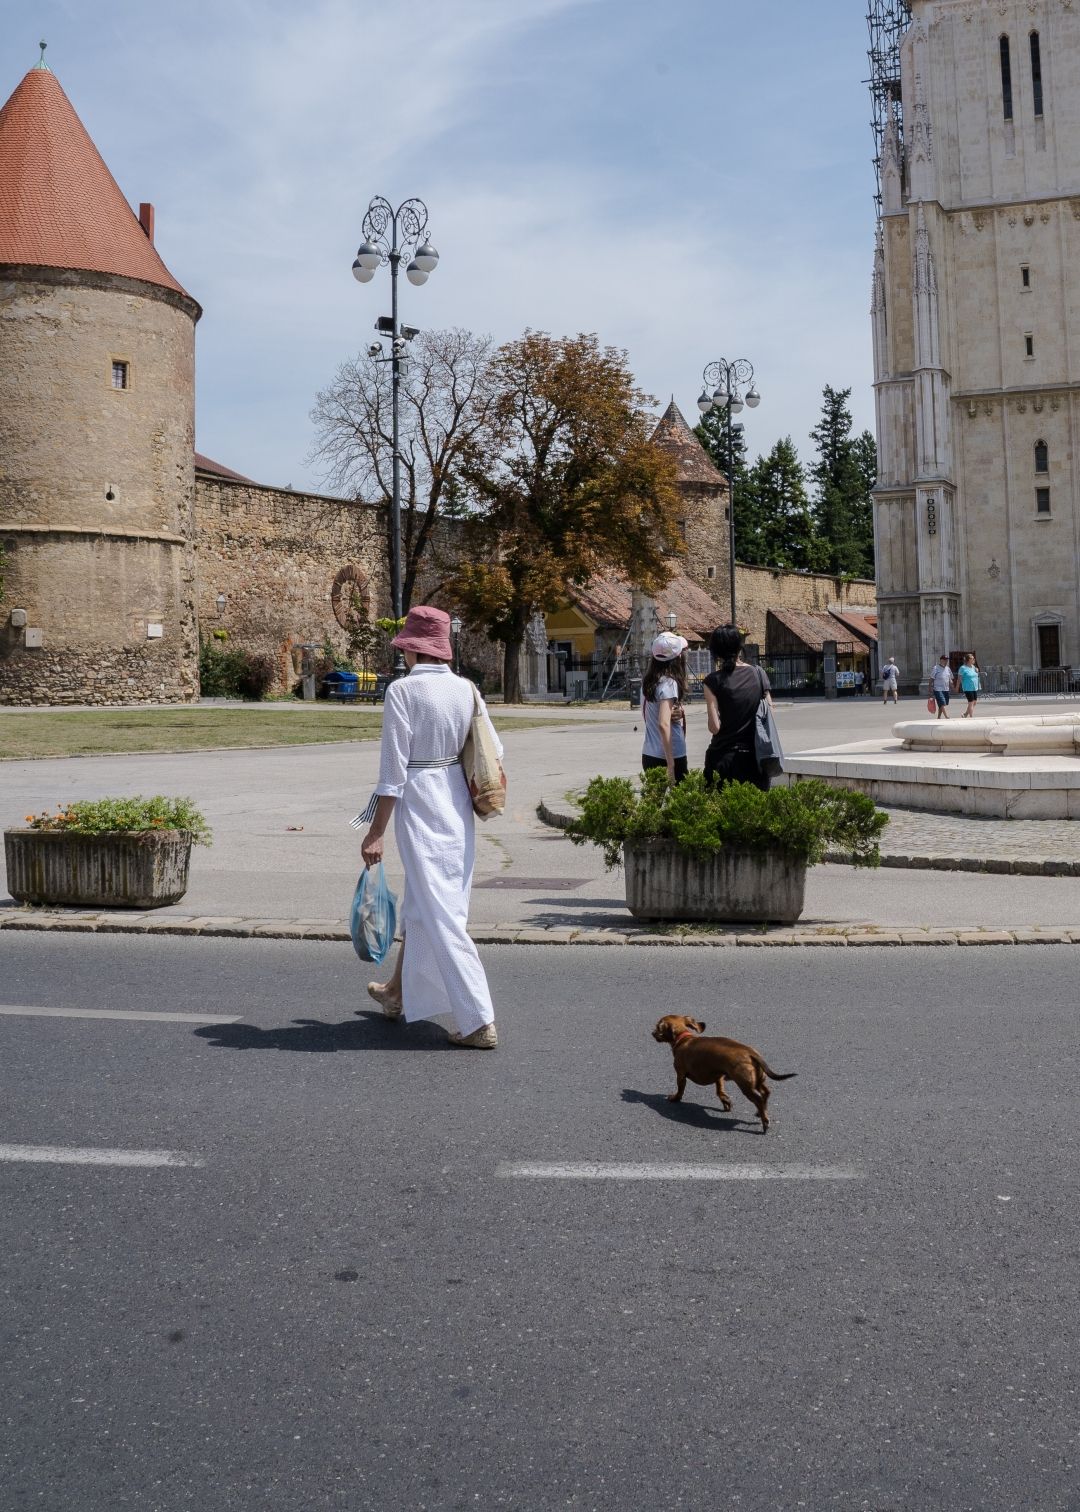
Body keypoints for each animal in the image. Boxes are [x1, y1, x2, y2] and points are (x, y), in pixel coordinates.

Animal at [647, 1016, 792, 1137]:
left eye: (658, 1027)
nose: (652, 1033)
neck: (684, 1039)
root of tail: (750, 1053)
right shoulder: (719, 1075)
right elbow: (720, 1090)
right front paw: (725, 1101)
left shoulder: (681, 1074)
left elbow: (680, 1089)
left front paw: (675, 1098)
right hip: (758, 1080)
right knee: (766, 1093)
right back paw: (760, 1113)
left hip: (746, 1087)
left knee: (759, 1099)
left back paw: (765, 1121)